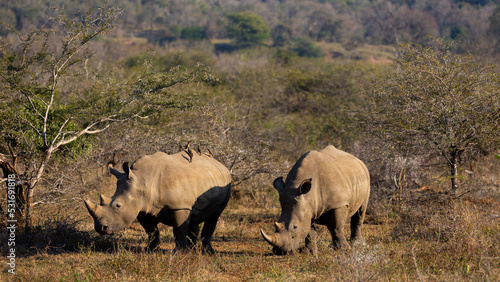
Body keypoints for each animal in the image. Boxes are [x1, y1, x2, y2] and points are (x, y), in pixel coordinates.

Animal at [84, 150, 232, 253]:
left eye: (118, 205)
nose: (100, 228)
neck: (142, 180)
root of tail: (221, 164)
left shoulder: (179, 206)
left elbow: (179, 229)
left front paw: (180, 253)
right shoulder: (143, 208)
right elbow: (152, 232)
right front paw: (150, 250)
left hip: (227, 181)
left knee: (215, 215)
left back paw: (207, 252)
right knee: (194, 215)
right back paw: (193, 250)